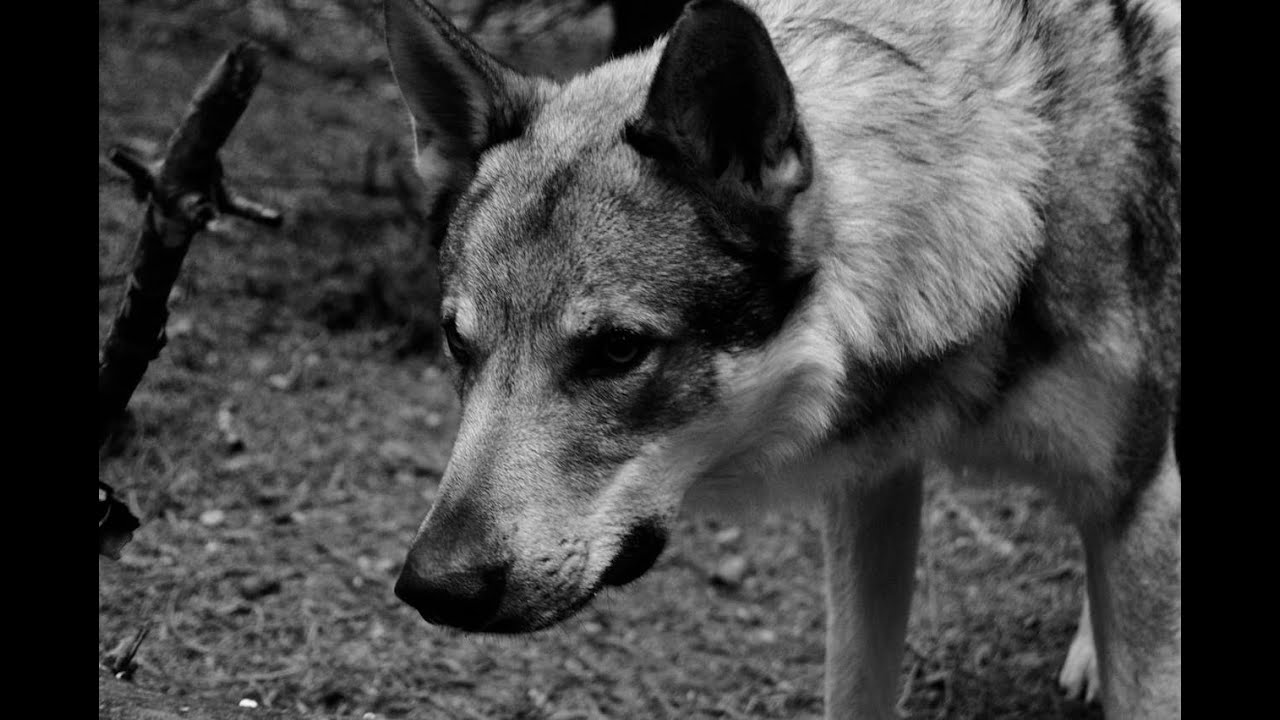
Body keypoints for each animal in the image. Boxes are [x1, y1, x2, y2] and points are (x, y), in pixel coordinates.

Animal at [383, 0, 1181, 717]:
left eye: (617, 349)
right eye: (458, 343)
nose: (434, 587)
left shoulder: (1141, 498)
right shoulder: (871, 485)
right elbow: (854, 692)